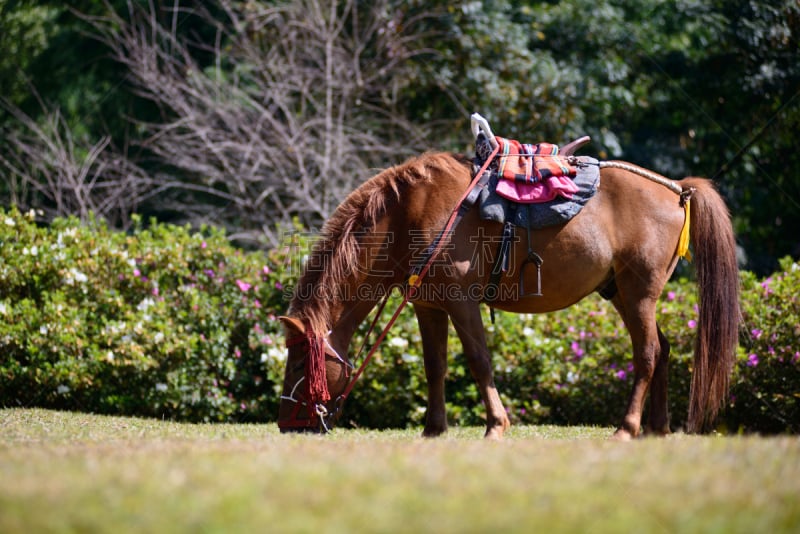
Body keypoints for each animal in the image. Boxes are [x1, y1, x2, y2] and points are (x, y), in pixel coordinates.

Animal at [276, 151, 736, 440]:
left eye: (300, 361)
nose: (285, 422)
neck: (410, 215)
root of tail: (677, 189)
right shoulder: (428, 306)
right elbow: (435, 366)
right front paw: (433, 429)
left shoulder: (461, 301)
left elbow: (479, 360)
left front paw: (496, 425)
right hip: (621, 293)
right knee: (664, 349)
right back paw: (656, 428)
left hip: (639, 293)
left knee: (647, 355)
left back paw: (627, 428)